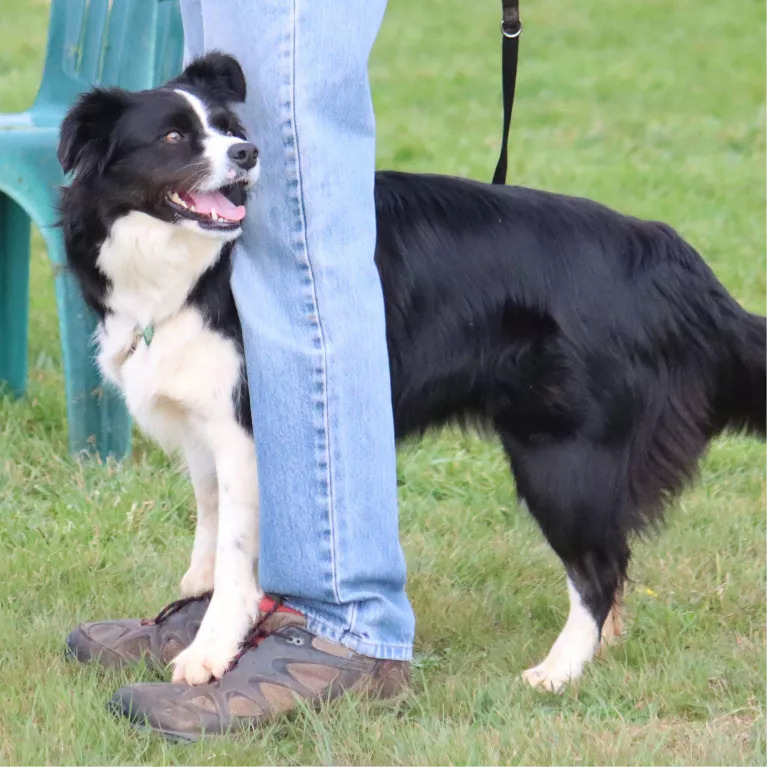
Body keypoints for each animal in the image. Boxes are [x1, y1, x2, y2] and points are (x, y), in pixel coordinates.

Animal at [57, 52, 764, 688]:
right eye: (175, 136)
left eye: (229, 129)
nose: (248, 153)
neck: (197, 268)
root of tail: (668, 258)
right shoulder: (205, 428)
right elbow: (211, 537)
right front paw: (189, 622)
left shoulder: (246, 431)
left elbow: (234, 559)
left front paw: (207, 654)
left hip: (562, 453)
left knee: (599, 567)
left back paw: (559, 671)